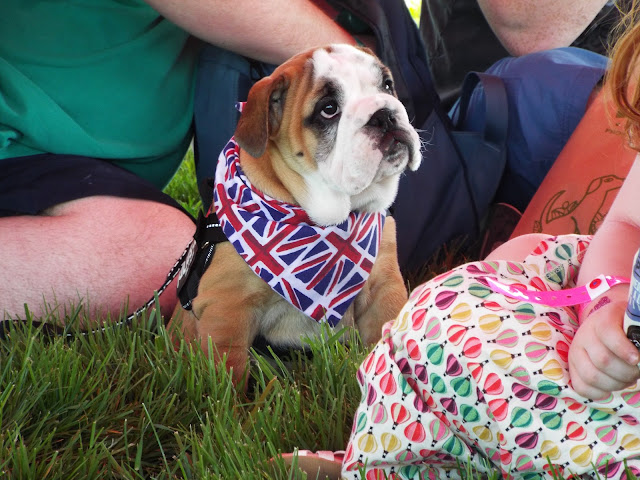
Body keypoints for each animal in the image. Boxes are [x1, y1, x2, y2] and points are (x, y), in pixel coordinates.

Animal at [170, 45, 420, 386]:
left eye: (387, 85)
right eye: (328, 109)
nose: (384, 114)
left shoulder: (384, 289)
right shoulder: (227, 308)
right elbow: (230, 374)